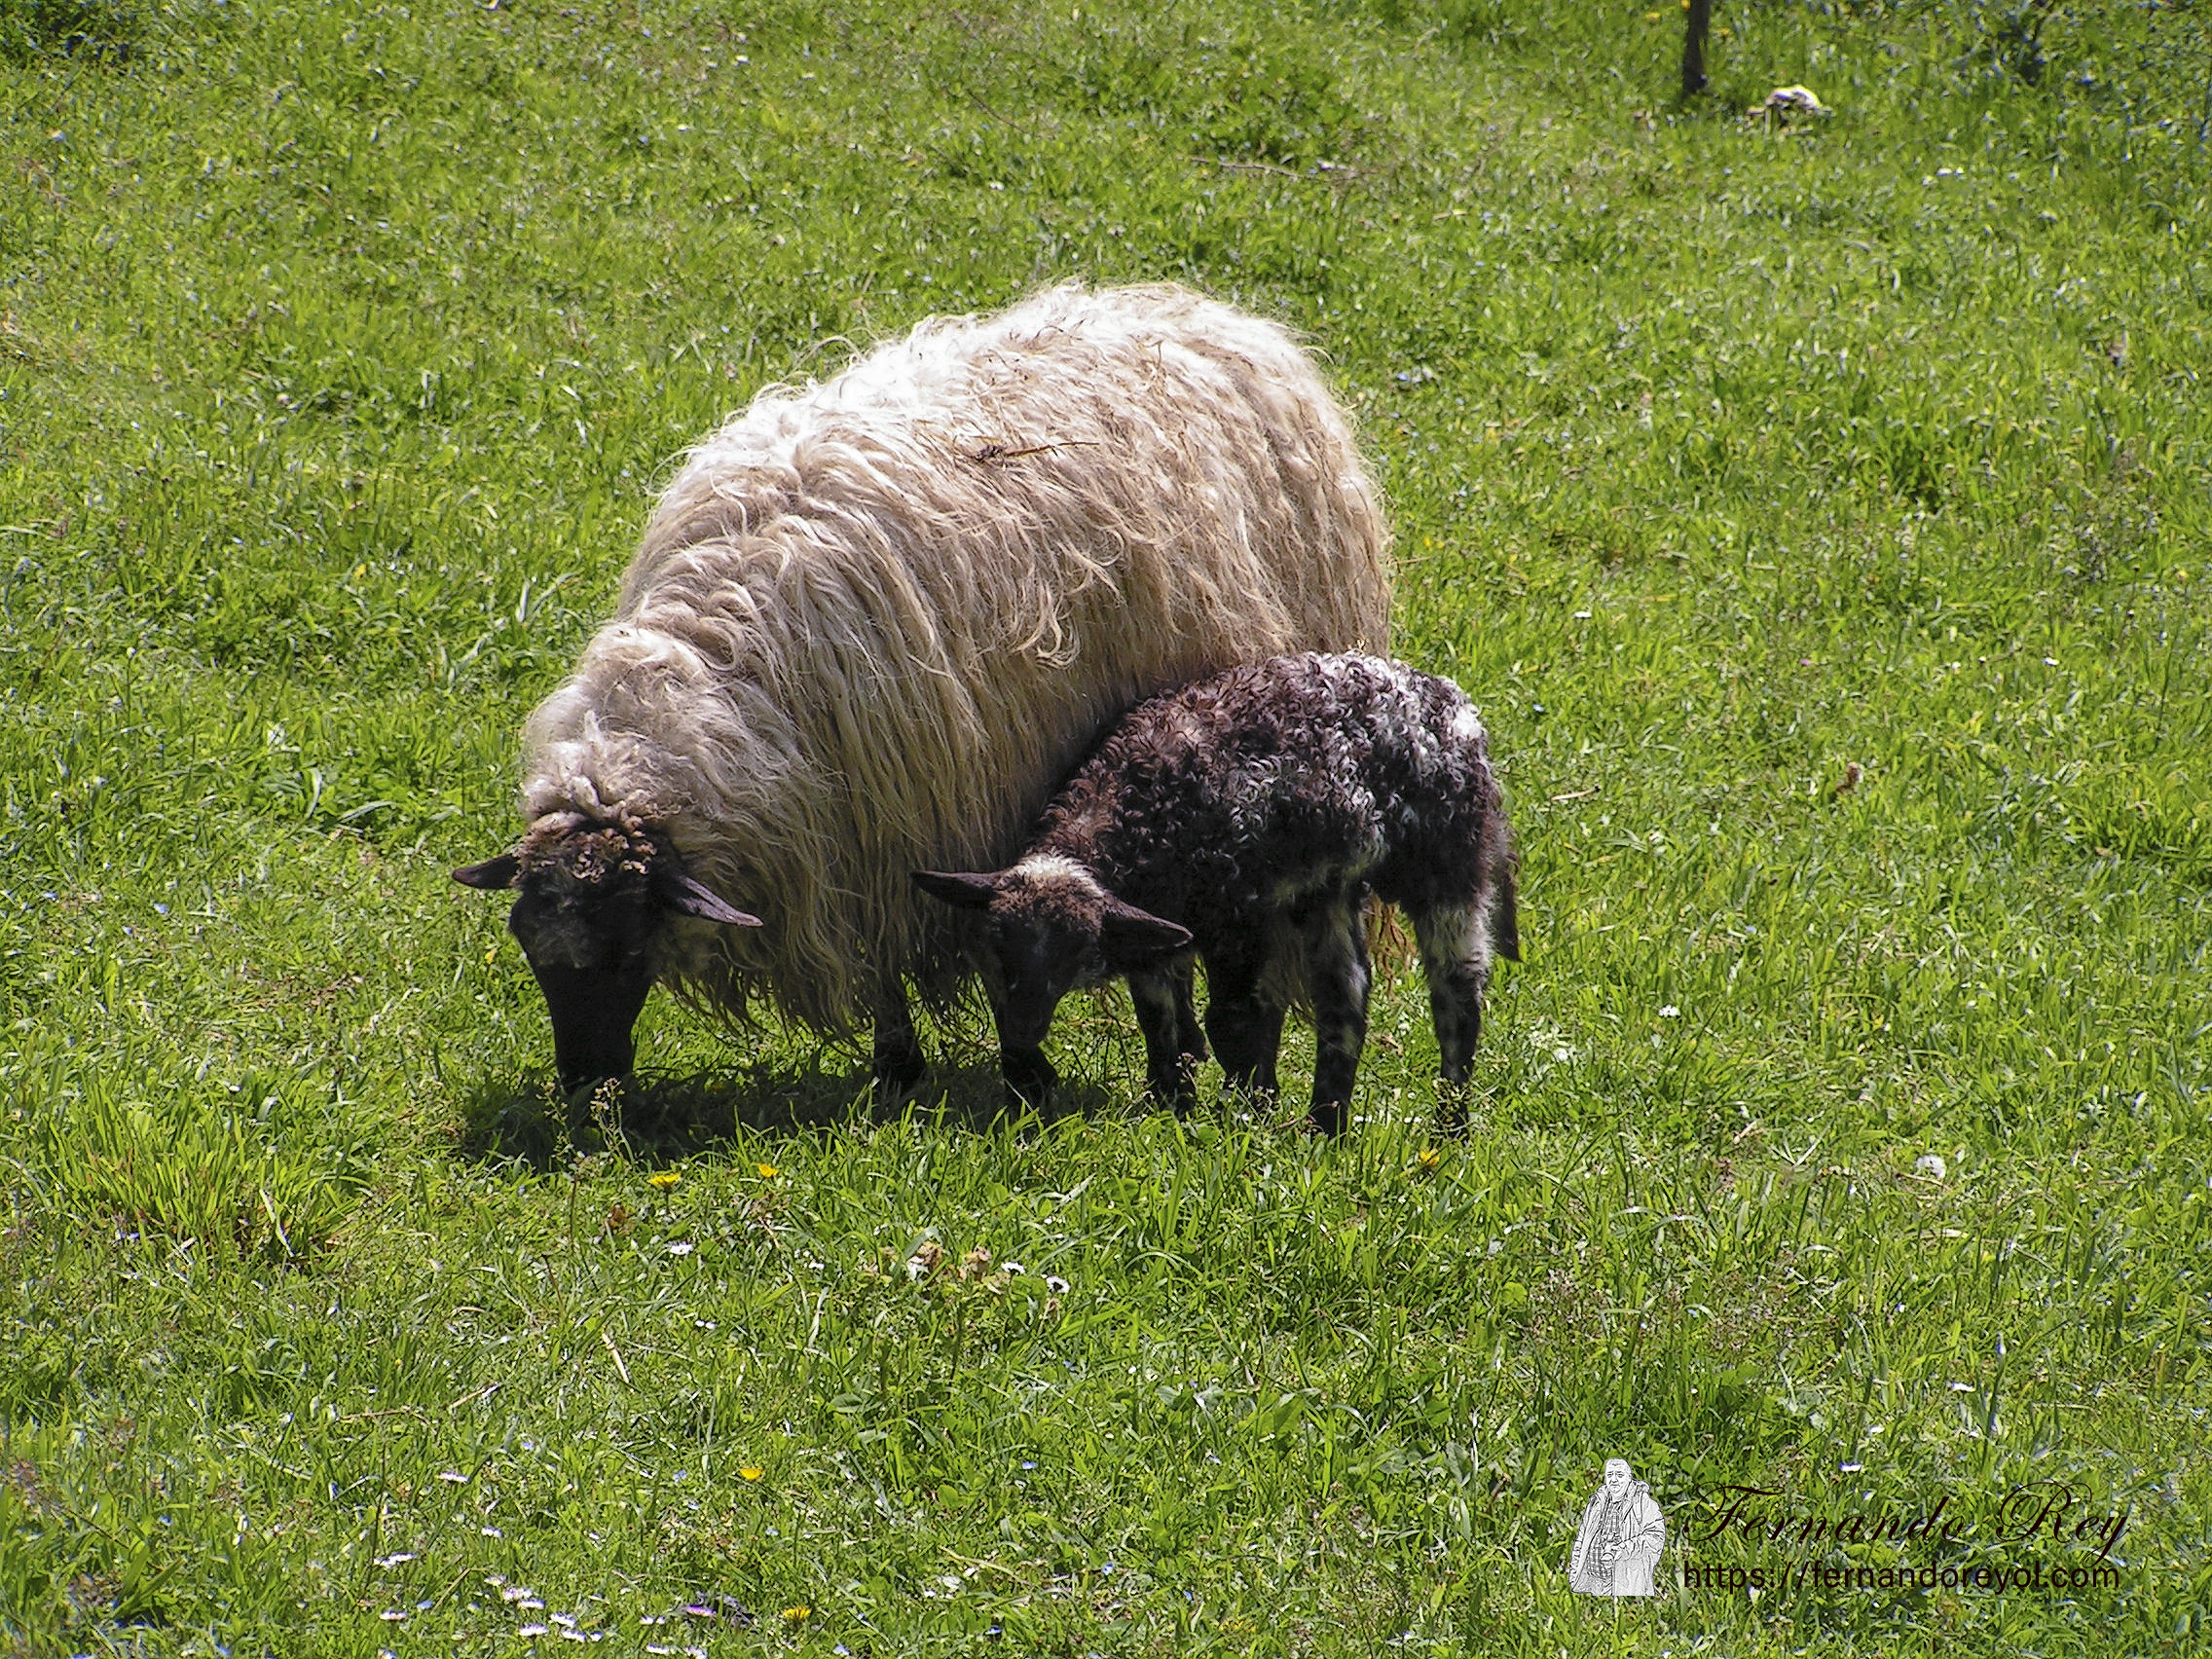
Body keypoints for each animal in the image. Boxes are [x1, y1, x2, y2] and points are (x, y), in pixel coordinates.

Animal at [454, 283, 1391, 1094]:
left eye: (623, 950)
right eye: (529, 948)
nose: (586, 1082)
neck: (717, 669)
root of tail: (1220, 316)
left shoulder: (900, 826)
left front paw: (916, 1068)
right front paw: (902, 1064)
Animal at [912, 652, 1520, 1133]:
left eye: (1075, 954)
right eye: (997, 942)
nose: (1021, 1029)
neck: (1142, 809)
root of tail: (1451, 701)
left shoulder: (1238, 919)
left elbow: (1232, 1022)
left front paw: (1249, 1113)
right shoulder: (1157, 927)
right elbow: (1158, 1017)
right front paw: (1170, 1104)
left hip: (1448, 860)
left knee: (1458, 992)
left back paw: (1449, 1125)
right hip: (1326, 890)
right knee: (1345, 995)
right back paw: (1325, 1127)